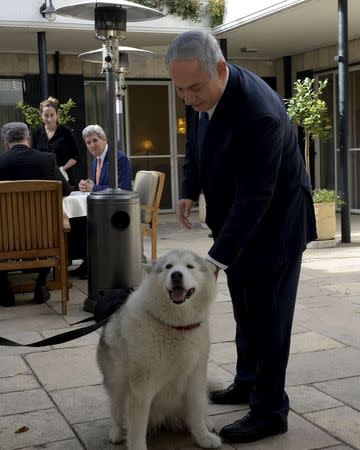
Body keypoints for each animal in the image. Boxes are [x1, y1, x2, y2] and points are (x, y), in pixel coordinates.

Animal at [98, 250, 222, 450]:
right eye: (168, 267)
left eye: (190, 266)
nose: (176, 275)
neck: (175, 326)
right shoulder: (141, 389)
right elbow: (136, 429)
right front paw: (137, 446)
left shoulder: (195, 379)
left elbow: (196, 412)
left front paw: (203, 437)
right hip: (116, 388)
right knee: (118, 415)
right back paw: (116, 432)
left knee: (202, 406)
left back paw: (207, 422)